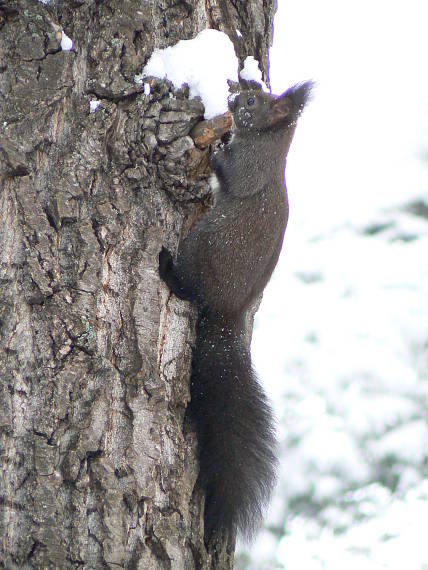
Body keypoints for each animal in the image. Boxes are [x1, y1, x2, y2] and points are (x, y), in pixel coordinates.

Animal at [159, 79, 312, 536]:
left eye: (251, 101)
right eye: (253, 90)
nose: (232, 95)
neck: (269, 142)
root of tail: (228, 315)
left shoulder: (247, 166)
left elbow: (229, 169)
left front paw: (215, 147)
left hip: (201, 248)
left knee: (189, 290)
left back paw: (167, 269)